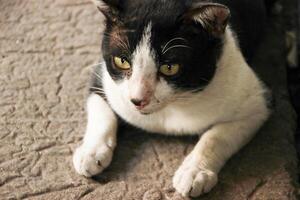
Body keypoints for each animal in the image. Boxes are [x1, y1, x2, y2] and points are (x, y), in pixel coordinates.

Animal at [73, 0, 272, 197]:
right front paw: (90, 154)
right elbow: (101, 113)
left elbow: (215, 137)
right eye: (122, 61)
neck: (172, 107)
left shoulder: (258, 103)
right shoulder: (102, 78)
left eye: (169, 67)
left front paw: (194, 173)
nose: (137, 100)